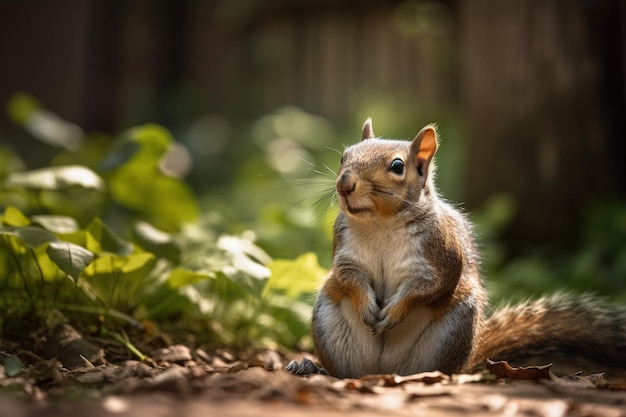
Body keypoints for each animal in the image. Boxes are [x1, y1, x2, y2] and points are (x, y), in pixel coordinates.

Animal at [284, 118, 624, 378]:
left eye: (397, 166)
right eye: (344, 157)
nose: (344, 184)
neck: (381, 222)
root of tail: (383, 371)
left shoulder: (441, 256)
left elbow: (429, 287)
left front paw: (394, 312)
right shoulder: (345, 251)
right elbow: (348, 277)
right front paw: (367, 305)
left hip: (453, 329)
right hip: (329, 320)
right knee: (344, 372)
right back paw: (312, 368)